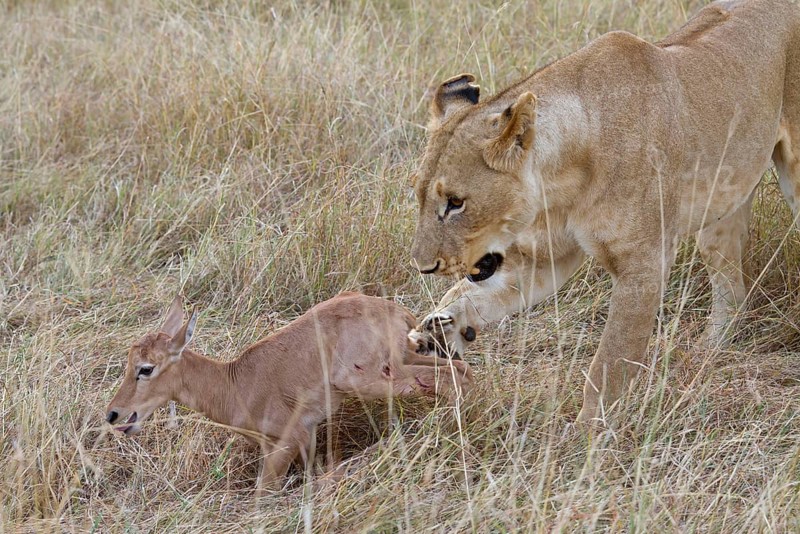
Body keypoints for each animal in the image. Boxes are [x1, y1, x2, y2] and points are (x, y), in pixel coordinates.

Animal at [409, 0, 800, 425]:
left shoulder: (643, 264)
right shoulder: (542, 258)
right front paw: (437, 330)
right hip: (724, 203)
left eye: (455, 202)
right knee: (732, 285)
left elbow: (610, 362)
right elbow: (473, 294)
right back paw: (709, 348)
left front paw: (588, 434)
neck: (562, 180)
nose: (423, 267)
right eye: (420, 195)